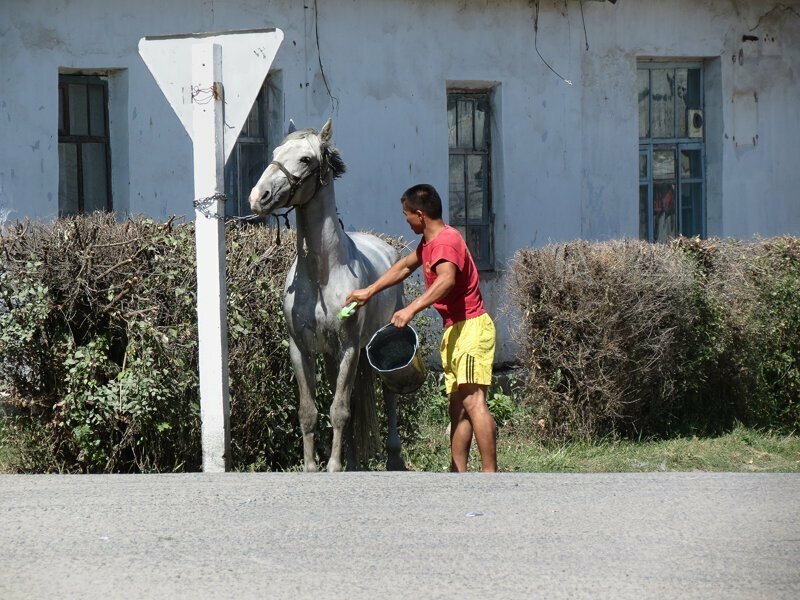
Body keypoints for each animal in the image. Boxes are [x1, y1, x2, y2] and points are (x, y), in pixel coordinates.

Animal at [250, 118, 406, 474]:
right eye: (275, 153)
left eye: (306, 159)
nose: (258, 196)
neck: (322, 274)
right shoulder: (301, 349)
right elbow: (309, 411)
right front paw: (312, 466)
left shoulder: (349, 347)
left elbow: (339, 409)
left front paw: (333, 467)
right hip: (335, 357)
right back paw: (353, 463)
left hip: (376, 347)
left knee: (388, 396)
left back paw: (392, 458)